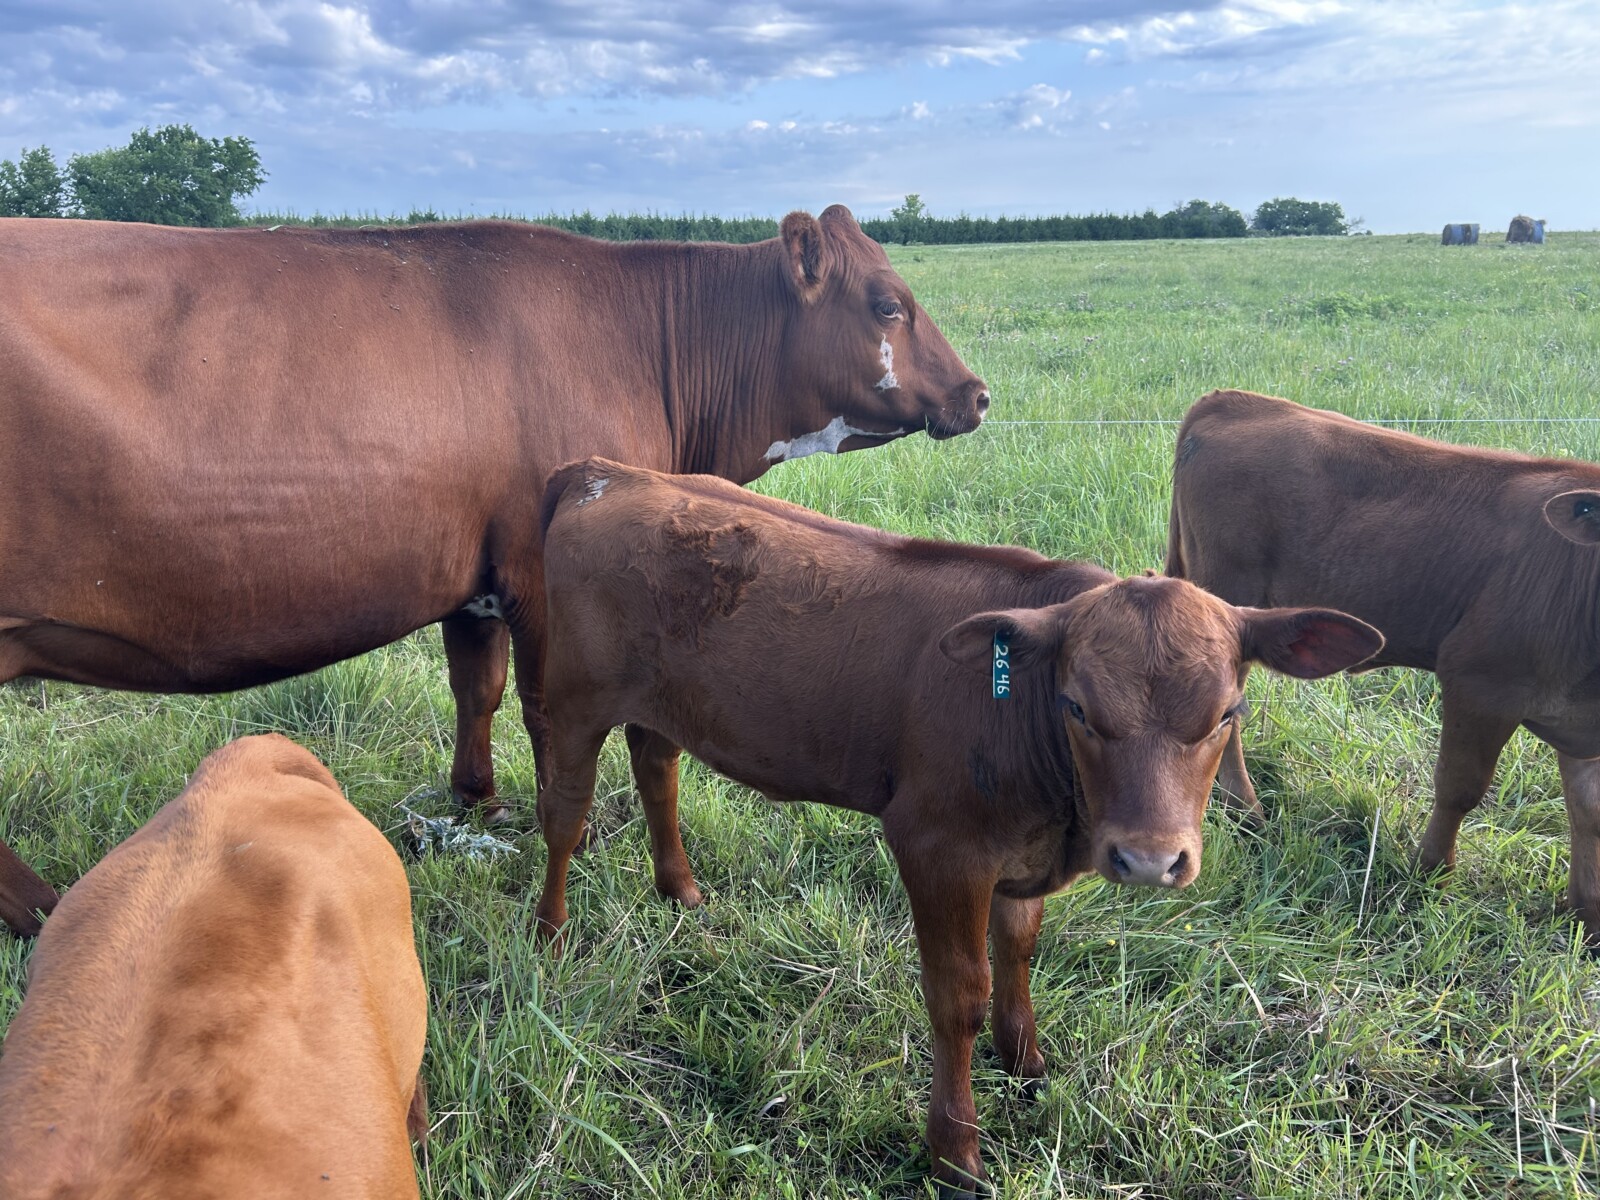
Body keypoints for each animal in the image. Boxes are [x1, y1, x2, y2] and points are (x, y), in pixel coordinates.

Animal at [0, 207, 988, 934]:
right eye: (888, 304)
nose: (977, 394)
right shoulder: (544, 575)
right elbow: (549, 713)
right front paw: (567, 836)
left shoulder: (473, 581)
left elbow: (477, 687)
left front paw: (477, 802)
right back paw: (50, 911)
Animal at [534, 458, 1382, 1195]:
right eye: (1078, 707)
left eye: (1227, 713)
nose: (1148, 860)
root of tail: (606, 471)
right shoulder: (937, 846)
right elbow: (959, 995)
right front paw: (956, 1154)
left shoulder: (1018, 858)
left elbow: (1020, 949)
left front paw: (1028, 1063)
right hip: (572, 701)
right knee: (565, 815)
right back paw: (551, 934)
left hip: (663, 704)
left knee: (657, 769)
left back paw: (679, 890)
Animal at [1167, 388, 1600, 942]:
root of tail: (1231, 400)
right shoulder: (1479, 680)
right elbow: (1459, 788)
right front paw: (1430, 875)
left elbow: (1586, 812)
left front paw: (1585, 918)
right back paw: (1248, 810)